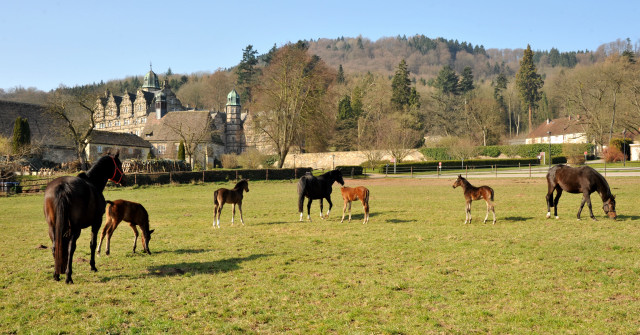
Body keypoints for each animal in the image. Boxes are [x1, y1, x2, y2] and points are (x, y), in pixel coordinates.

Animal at [43, 154, 125, 284]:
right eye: (119, 165)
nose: (124, 179)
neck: (93, 183)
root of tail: (63, 187)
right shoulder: (97, 223)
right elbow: (93, 244)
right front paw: (93, 266)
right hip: (76, 229)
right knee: (71, 248)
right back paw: (68, 276)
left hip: (53, 227)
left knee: (55, 247)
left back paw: (56, 274)